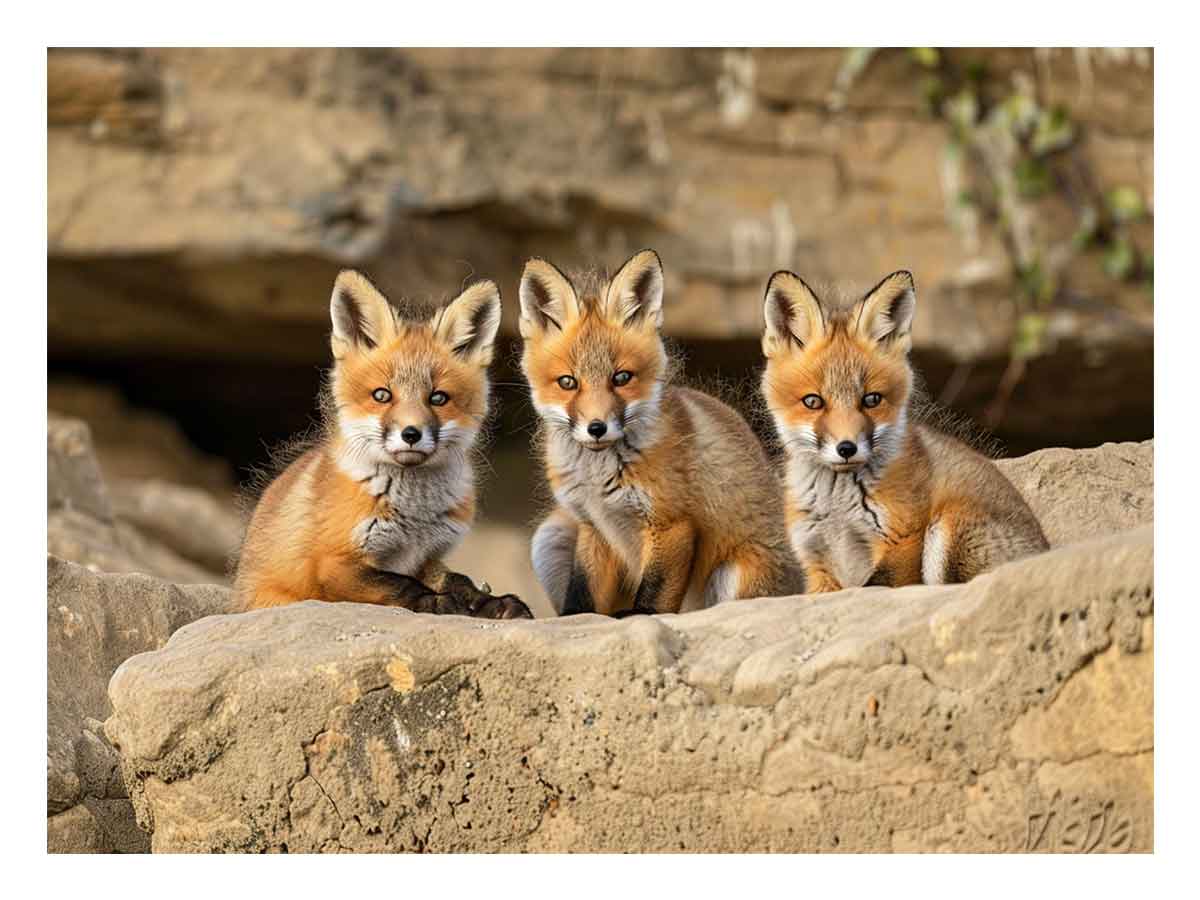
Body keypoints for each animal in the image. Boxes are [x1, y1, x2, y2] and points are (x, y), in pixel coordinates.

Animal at [234, 270, 531, 619]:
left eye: (438, 398)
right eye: (382, 395)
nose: (411, 434)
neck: (414, 516)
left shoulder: (426, 556)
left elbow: (460, 579)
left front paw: (490, 602)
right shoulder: (333, 565)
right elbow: (398, 584)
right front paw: (438, 603)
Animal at [519, 249, 805, 617]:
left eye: (621, 378)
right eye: (568, 382)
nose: (597, 428)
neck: (599, 478)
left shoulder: (672, 524)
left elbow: (655, 596)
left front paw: (638, 615)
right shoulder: (593, 526)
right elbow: (583, 593)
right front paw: (574, 618)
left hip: (732, 575)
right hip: (549, 536)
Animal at [759, 269, 1049, 592]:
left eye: (871, 399)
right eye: (813, 401)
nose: (846, 448)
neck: (838, 508)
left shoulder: (903, 539)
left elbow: (876, 585)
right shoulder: (816, 562)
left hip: (947, 526)